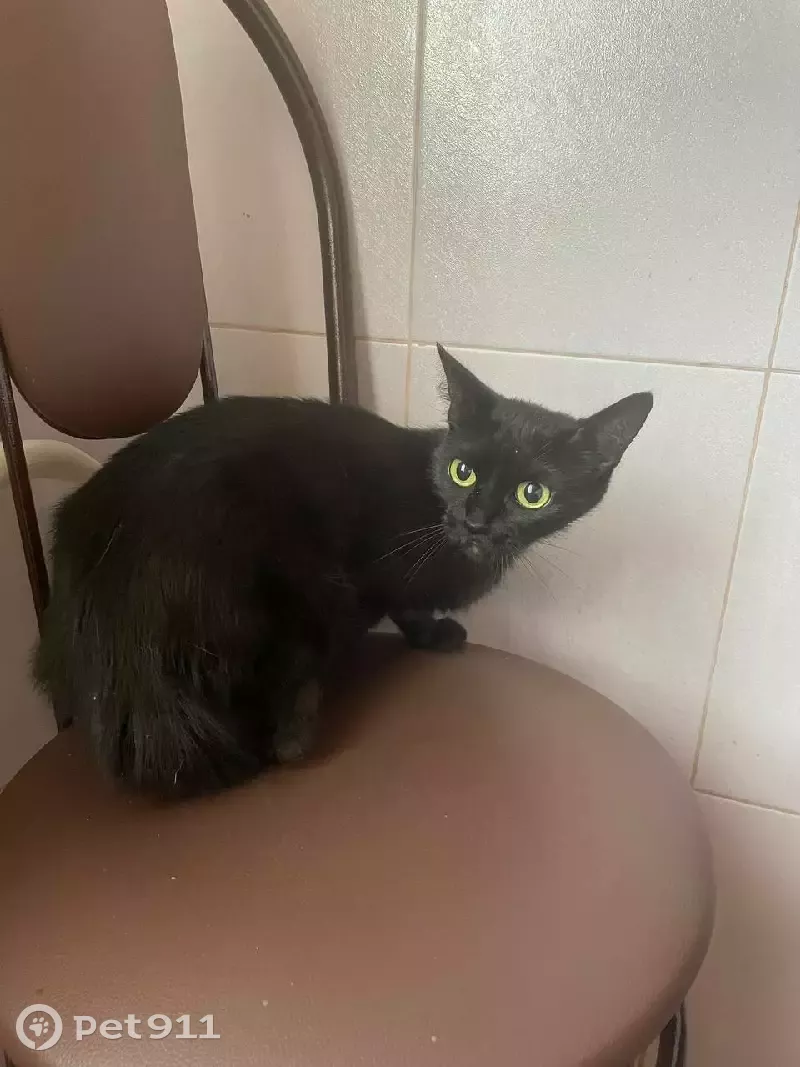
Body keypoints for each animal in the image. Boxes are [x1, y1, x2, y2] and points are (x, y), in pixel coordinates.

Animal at [32, 345, 652, 799]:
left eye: (532, 494)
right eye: (463, 471)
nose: (476, 520)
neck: (438, 520)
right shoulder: (372, 571)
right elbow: (405, 604)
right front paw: (432, 634)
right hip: (298, 586)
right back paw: (294, 738)